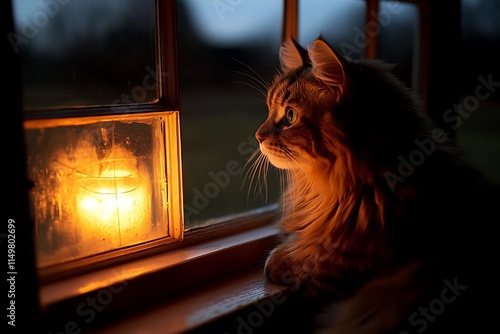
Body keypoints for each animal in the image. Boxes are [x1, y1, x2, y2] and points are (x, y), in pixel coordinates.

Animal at [252, 37, 498, 332]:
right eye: (269, 110)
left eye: (289, 116)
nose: (257, 136)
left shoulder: (337, 270)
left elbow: (305, 263)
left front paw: (281, 261)